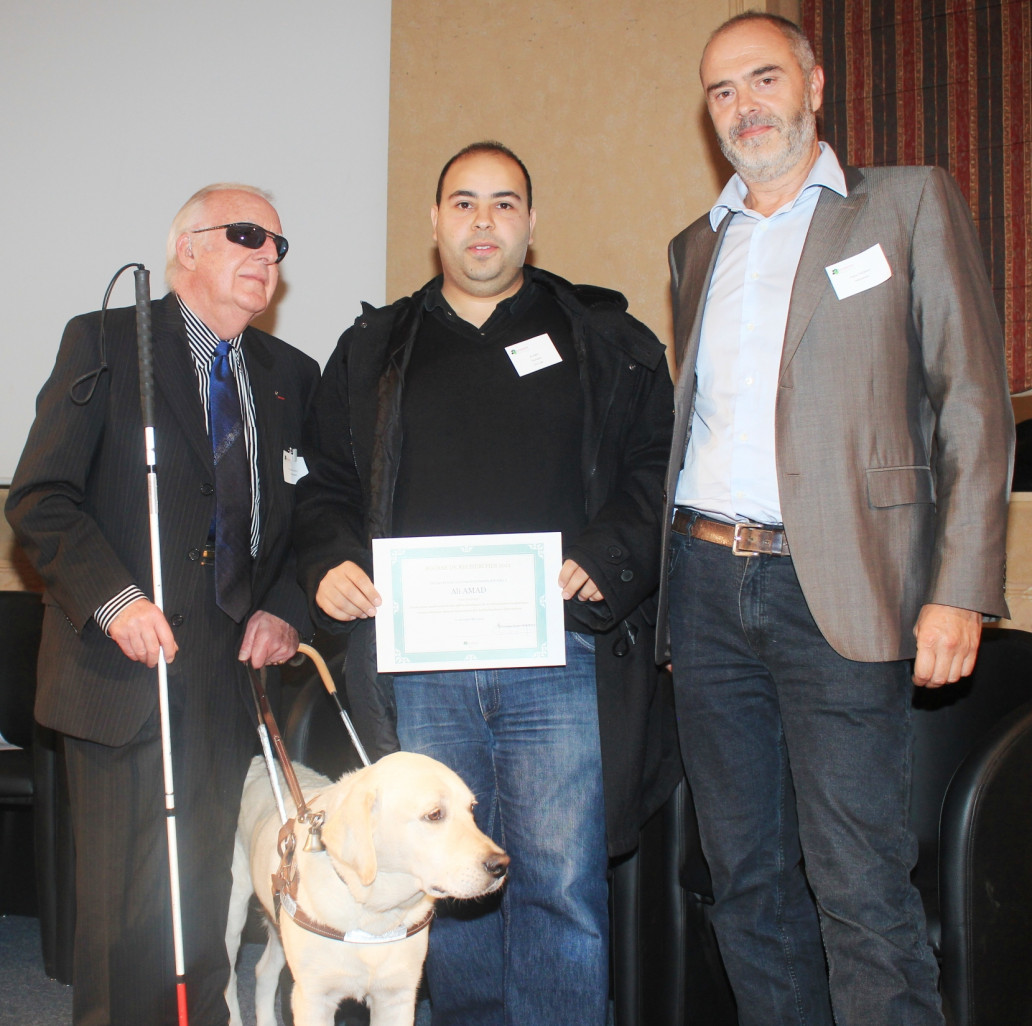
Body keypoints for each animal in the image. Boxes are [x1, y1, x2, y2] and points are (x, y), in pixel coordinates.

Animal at [226, 747, 507, 1019]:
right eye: (435, 814)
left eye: (472, 809)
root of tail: (257, 760)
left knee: (263, 971)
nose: (501, 865)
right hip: (233, 916)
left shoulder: (397, 996)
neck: (374, 916)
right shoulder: (313, 999)